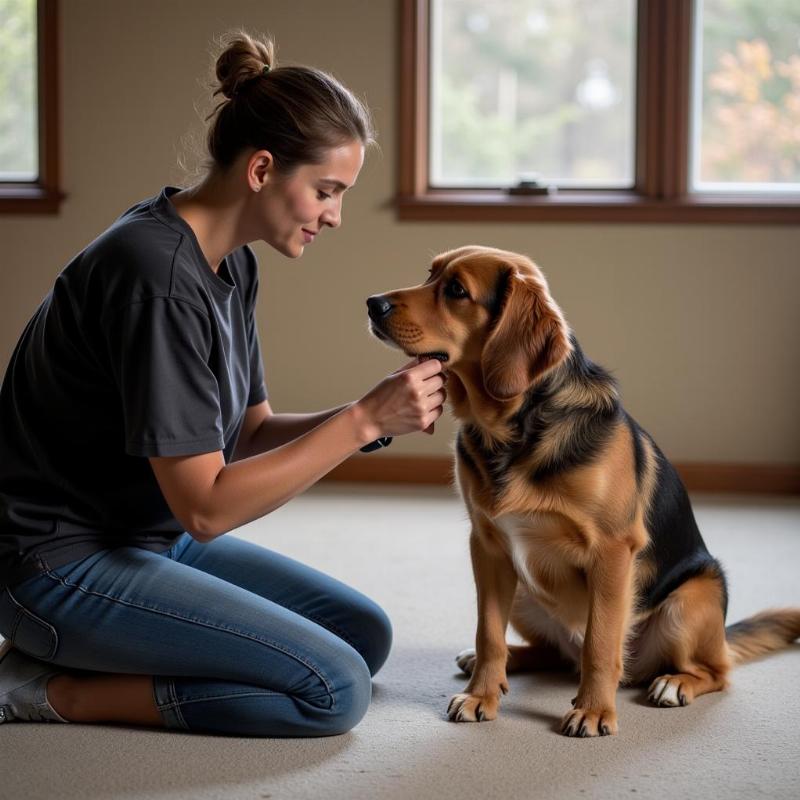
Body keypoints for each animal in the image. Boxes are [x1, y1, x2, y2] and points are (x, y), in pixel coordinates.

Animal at [368, 244, 800, 736]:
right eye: (430, 274)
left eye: (457, 290)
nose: (372, 304)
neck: (513, 428)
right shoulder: (488, 547)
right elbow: (489, 632)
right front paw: (482, 694)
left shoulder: (611, 553)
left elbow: (601, 643)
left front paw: (594, 711)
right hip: (522, 590)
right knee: (553, 653)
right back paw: (495, 662)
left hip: (690, 601)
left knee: (711, 670)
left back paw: (675, 683)